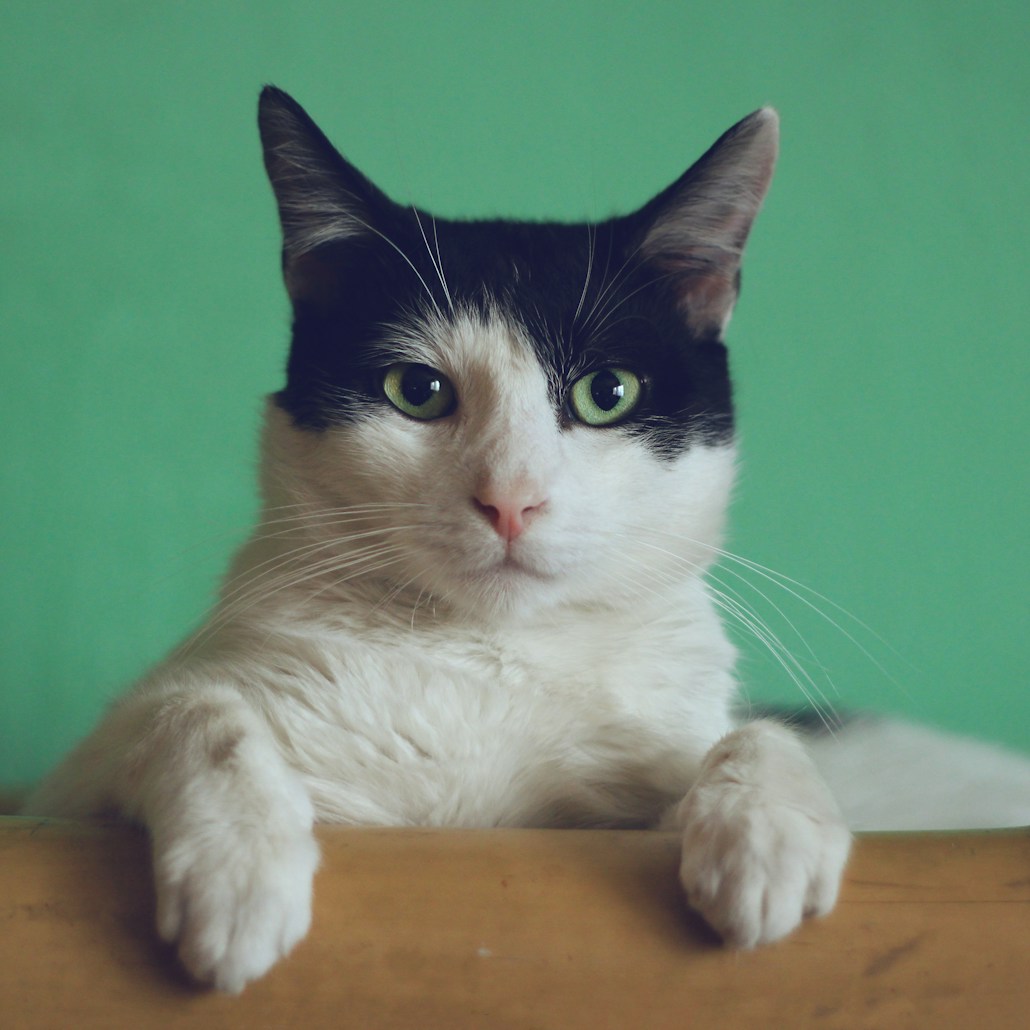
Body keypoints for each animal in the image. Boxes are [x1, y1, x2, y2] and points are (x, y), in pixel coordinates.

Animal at [26, 90, 988, 997]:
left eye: (608, 392)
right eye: (416, 390)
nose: (511, 500)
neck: (490, 663)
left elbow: (751, 737)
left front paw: (767, 833)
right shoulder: (58, 794)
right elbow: (192, 711)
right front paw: (240, 874)